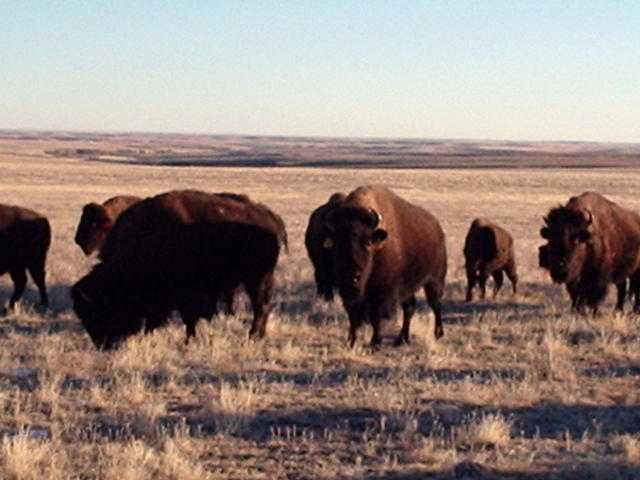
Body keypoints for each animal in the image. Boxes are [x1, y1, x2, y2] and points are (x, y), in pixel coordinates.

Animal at [72, 190, 286, 349]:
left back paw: (253, 336)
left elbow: (188, 318)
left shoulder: (186, 293)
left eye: (95, 312)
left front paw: (189, 341)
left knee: (261, 306)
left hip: (257, 278)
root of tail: (272, 218)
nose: (103, 345)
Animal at [319, 185, 447, 347]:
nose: (352, 276)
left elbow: (376, 317)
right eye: (337, 244)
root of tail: (438, 230)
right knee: (409, 308)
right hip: (408, 288)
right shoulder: (348, 294)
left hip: (434, 280)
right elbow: (353, 317)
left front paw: (375, 343)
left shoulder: (382, 292)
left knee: (436, 304)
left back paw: (438, 334)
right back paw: (401, 339)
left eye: (368, 243)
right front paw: (351, 342)